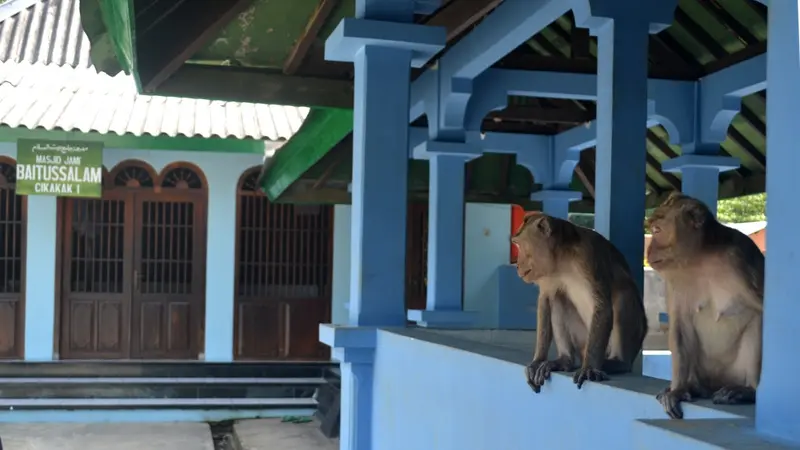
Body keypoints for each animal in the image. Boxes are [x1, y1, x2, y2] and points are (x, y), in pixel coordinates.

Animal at [512, 213, 648, 392]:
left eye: (520, 245)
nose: (517, 265)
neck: (562, 259)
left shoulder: (589, 256)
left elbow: (602, 305)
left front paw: (589, 368)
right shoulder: (548, 274)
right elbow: (546, 299)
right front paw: (538, 361)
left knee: (623, 296)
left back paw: (618, 362)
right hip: (582, 340)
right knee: (559, 297)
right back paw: (566, 360)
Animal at [644, 192, 764, 418]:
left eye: (657, 230)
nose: (649, 250)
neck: (700, 258)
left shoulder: (740, 257)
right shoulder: (674, 279)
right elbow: (680, 324)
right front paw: (677, 390)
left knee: (758, 322)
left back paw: (748, 391)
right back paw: (692, 387)